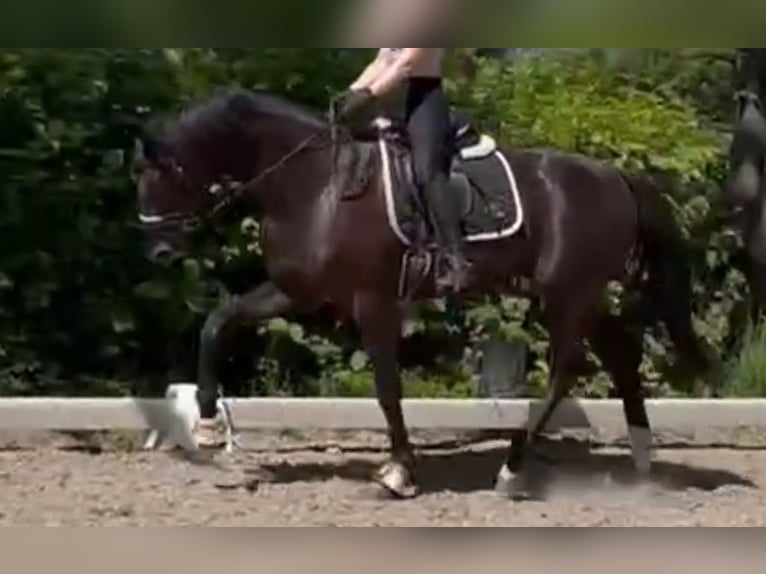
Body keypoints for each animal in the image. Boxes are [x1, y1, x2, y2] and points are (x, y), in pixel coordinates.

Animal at [136, 88, 712, 502]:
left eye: (165, 174)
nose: (159, 252)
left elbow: (387, 388)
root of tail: (617, 177)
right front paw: (207, 417)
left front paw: (400, 473)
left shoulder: (371, 299)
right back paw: (642, 462)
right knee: (620, 352)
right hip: (581, 294)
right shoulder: (296, 291)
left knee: (567, 369)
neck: (318, 186)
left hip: (566, 293)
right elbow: (218, 320)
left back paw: (512, 471)